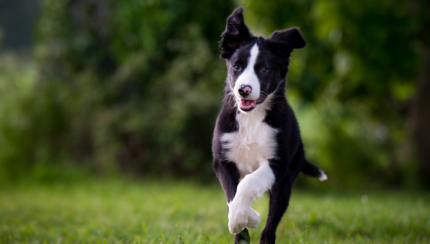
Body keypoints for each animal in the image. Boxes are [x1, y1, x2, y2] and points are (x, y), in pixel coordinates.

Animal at [212, 6, 326, 243]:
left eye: (264, 69)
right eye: (236, 66)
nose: (244, 90)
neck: (252, 118)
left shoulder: (277, 164)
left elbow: (247, 185)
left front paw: (247, 218)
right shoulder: (223, 161)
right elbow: (232, 196)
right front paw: (244, 219)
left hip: (286, 180)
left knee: (272, 223)